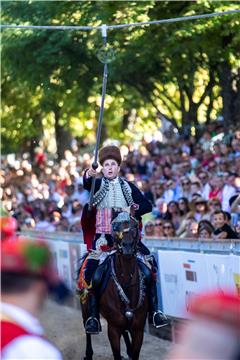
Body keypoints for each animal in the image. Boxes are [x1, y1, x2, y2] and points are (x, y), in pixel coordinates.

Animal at [79, 211, 149, 360]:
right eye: (116, 228)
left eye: (135, 226)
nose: (127, 246)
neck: (126, 282)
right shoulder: (113, 329)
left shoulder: (138, 329)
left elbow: (135, 353)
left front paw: (130, 351)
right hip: (85, 308)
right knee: (87, 327)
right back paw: (88, 354)